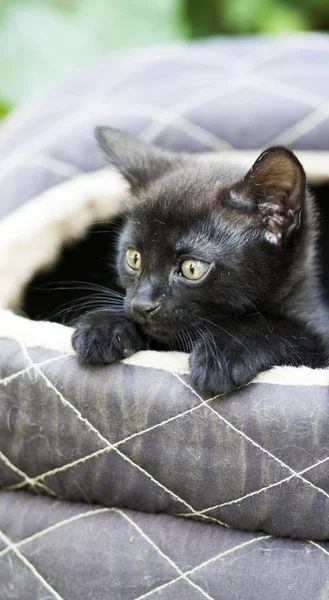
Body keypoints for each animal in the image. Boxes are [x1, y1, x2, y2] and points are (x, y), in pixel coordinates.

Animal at [72, 127, 328, 394]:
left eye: (192, 268)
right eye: (134, 258)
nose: (142, 305)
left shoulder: (319, 343)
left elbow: (280, 328)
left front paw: (224, 353)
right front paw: (102, 325)